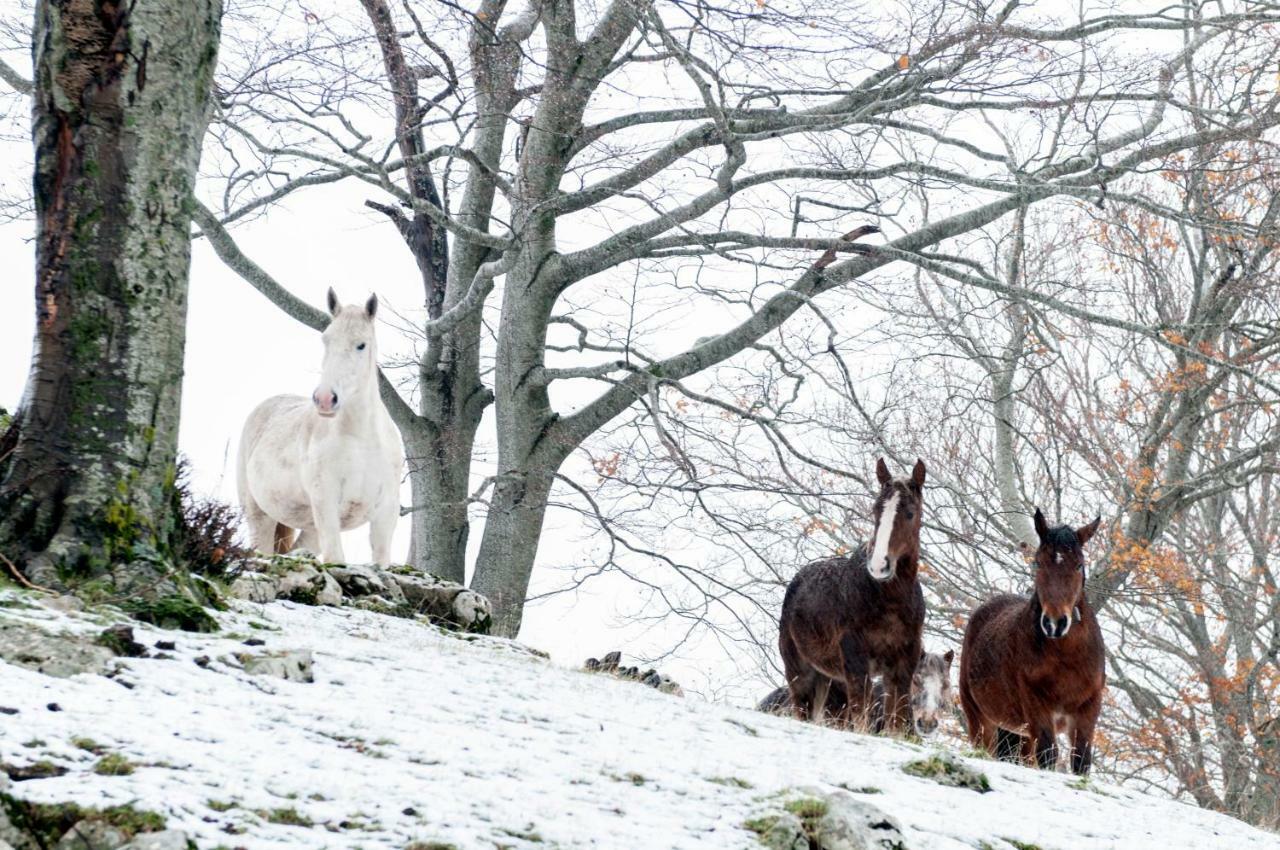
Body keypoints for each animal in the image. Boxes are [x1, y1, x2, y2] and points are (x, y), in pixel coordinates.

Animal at [238, 290, 401, 563]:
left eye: (361, 344)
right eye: (326, 340)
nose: (325, 398)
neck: (361, 443)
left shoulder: (386, 513)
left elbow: (381, 561)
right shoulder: (326, 506)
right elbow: (336, 558)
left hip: (309, 529)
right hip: (260, 515)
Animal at [773, 458, 926, 732]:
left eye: (910, 513)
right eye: (876, 510)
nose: (879, 566)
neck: (889, 602)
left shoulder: (903, 663)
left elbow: (897, 723)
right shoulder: (856, 662)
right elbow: (862, 718)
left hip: (828, 679)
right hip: (800, 674)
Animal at [962, 506, 1111, 773]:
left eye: (1079, 565)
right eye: (1038, 562)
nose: (1055, 623)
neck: (1067, 658)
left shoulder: (1088, 709)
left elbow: (1081, 761)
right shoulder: (1037, 707)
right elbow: (1048, 755)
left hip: (1017, 734)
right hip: (982, 720)